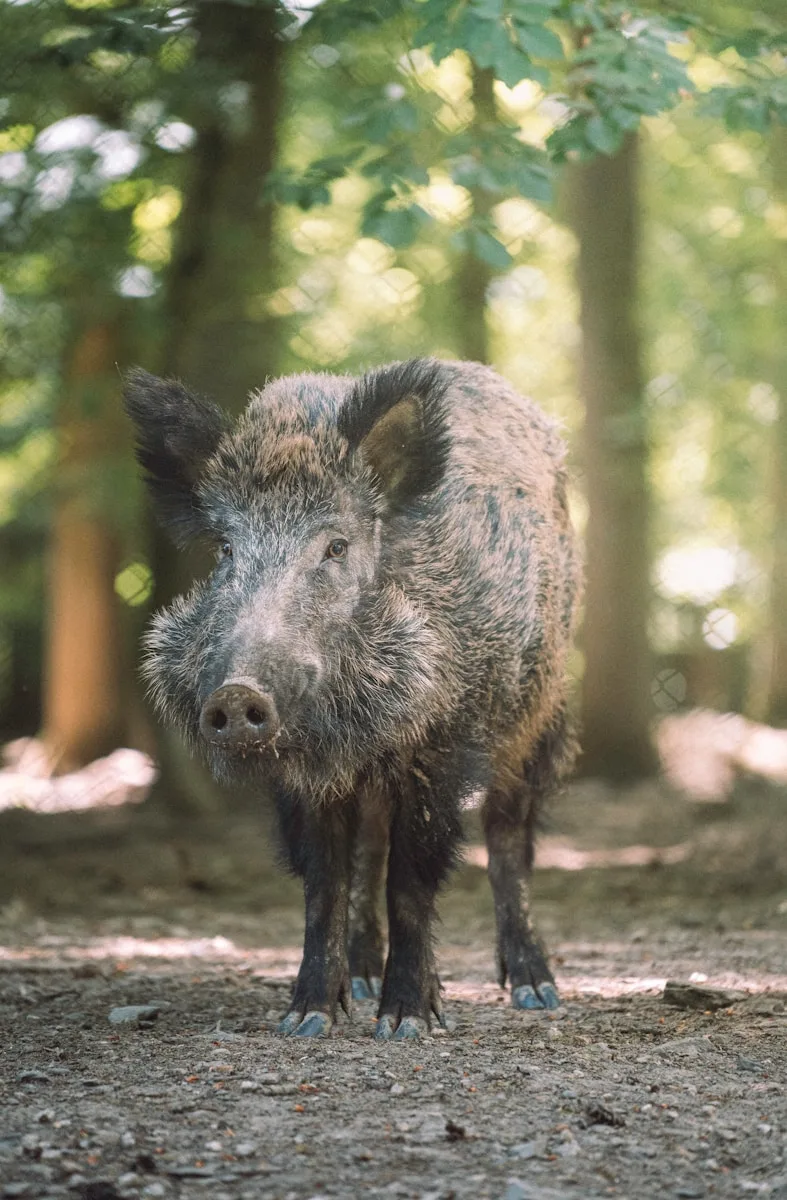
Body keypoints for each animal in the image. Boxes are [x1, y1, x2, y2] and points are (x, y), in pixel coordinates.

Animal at [124, 358, 580, 1039]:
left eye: (336, 547)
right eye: (227, 550)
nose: (236, 694)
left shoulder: (442, 748)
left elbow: (412, 878)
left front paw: (405, 1024)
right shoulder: (304, 776)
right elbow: (326, 881)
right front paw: (306, 1020)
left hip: (537, 714)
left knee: (507, 838)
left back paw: (535, 990)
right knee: (370, 846)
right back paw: (362, 981)